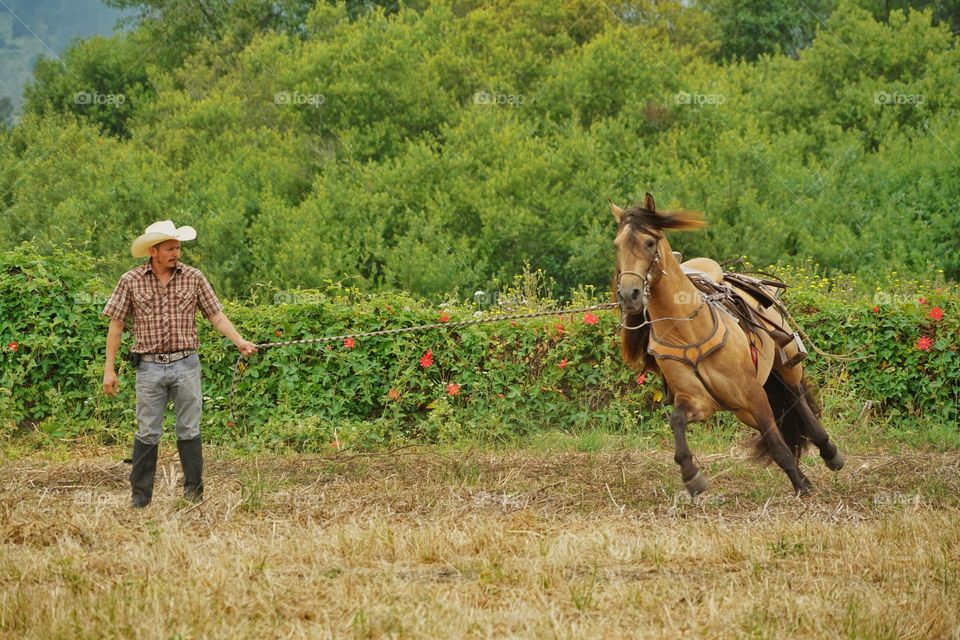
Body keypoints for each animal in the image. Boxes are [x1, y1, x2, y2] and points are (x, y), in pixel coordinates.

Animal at [612, 194, 844, 496]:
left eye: (649, 242)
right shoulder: (698, 401)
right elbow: (676, 420)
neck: (687, 331)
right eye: (617, 245)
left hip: (785, 365)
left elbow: (778, 446)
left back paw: (829, 452)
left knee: (795, 396)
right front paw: (692, 476)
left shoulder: (753, 394)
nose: (629, 295)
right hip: (744, 409)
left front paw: (801, 488)